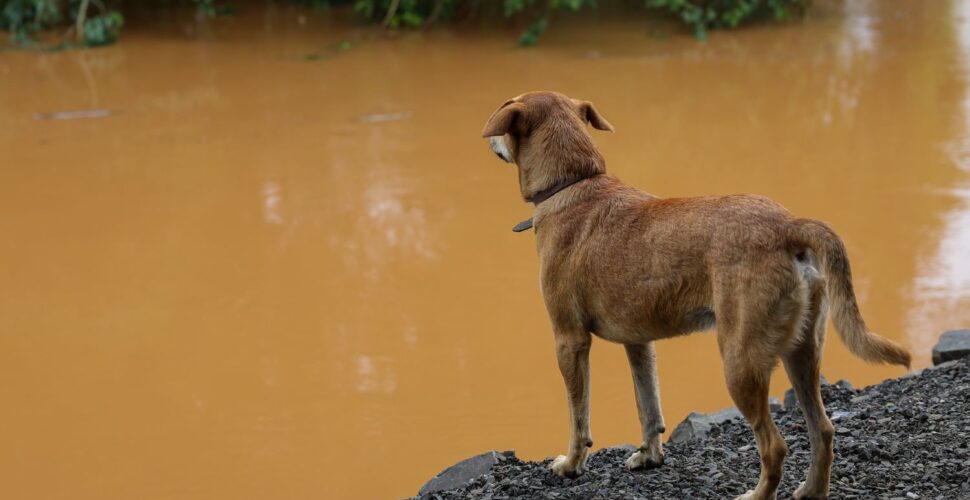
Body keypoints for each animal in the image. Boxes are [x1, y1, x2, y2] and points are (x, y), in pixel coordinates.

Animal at [480, 91, 912, 500]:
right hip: (802, 353)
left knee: (775, 446)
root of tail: (789, 226)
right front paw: (650, 456)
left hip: (740, 361)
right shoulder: (639, 342)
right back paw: (811, 491)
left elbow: (578, 415)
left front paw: (571, 464)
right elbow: (648, 404)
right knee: (822, 429)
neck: (574, 183)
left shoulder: (569, 340)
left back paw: (758, 494)